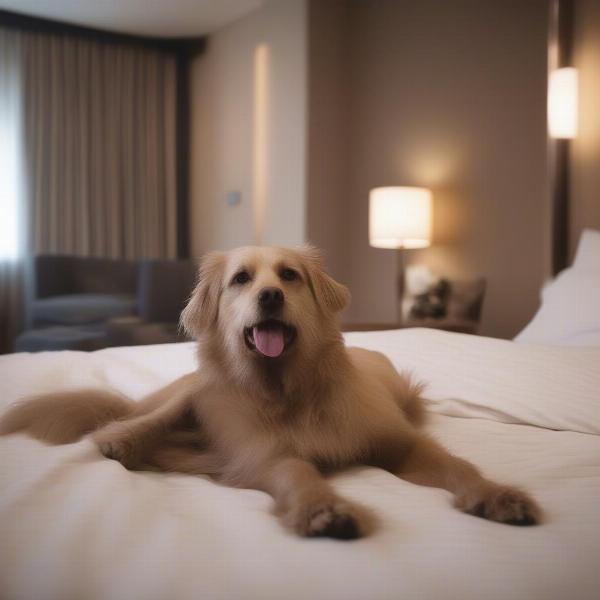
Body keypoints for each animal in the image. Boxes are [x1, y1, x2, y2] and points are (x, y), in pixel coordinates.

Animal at [1, 244, 544, 540]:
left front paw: (496, 496)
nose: (269, 296)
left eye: (289, 276)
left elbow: (459, 466)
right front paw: (325, 510)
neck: (291, 390)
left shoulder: (402, 443)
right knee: (151, 416)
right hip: (198, 392)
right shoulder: (267, 453)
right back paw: (123, 439)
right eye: (241, 279)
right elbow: (301, 474)